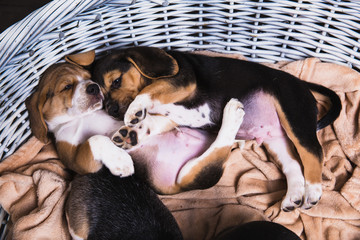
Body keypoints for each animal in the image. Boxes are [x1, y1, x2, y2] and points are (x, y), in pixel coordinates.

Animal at [91, 46, 342, 211]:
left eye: (116, 81)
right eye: (100, 93)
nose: (111, 110)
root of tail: (300, 83)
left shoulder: (181, 81)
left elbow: (150, 90)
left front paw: (134, 110)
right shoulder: (171, 115)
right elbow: (154, 120)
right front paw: (134, 131)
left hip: (293, 116)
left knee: (313, 153)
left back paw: (313, 191)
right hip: (277, 139)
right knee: (293, 165)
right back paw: (293, 196)